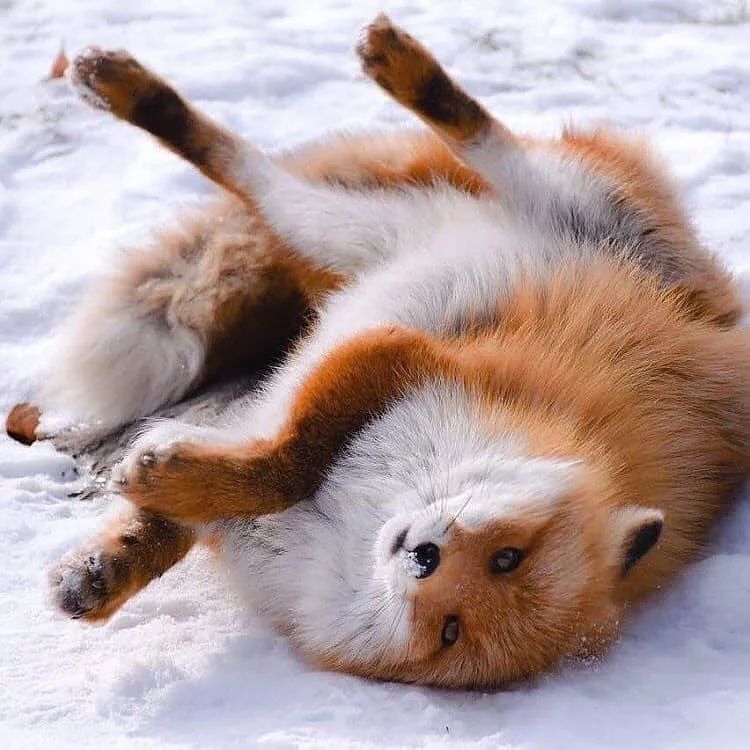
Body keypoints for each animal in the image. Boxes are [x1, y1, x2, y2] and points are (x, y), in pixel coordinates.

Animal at [29, 15, 750, 688]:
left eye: (451, 630)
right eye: (509, 557)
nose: (422, 556)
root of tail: (715, 305)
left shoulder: (256, 500)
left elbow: (185, 511)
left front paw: (106, 566)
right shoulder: (402, 352)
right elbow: (290, 460)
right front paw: (122, 537)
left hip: (352, 233)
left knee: (261, 183)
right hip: (503, 207)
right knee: (430, 143)